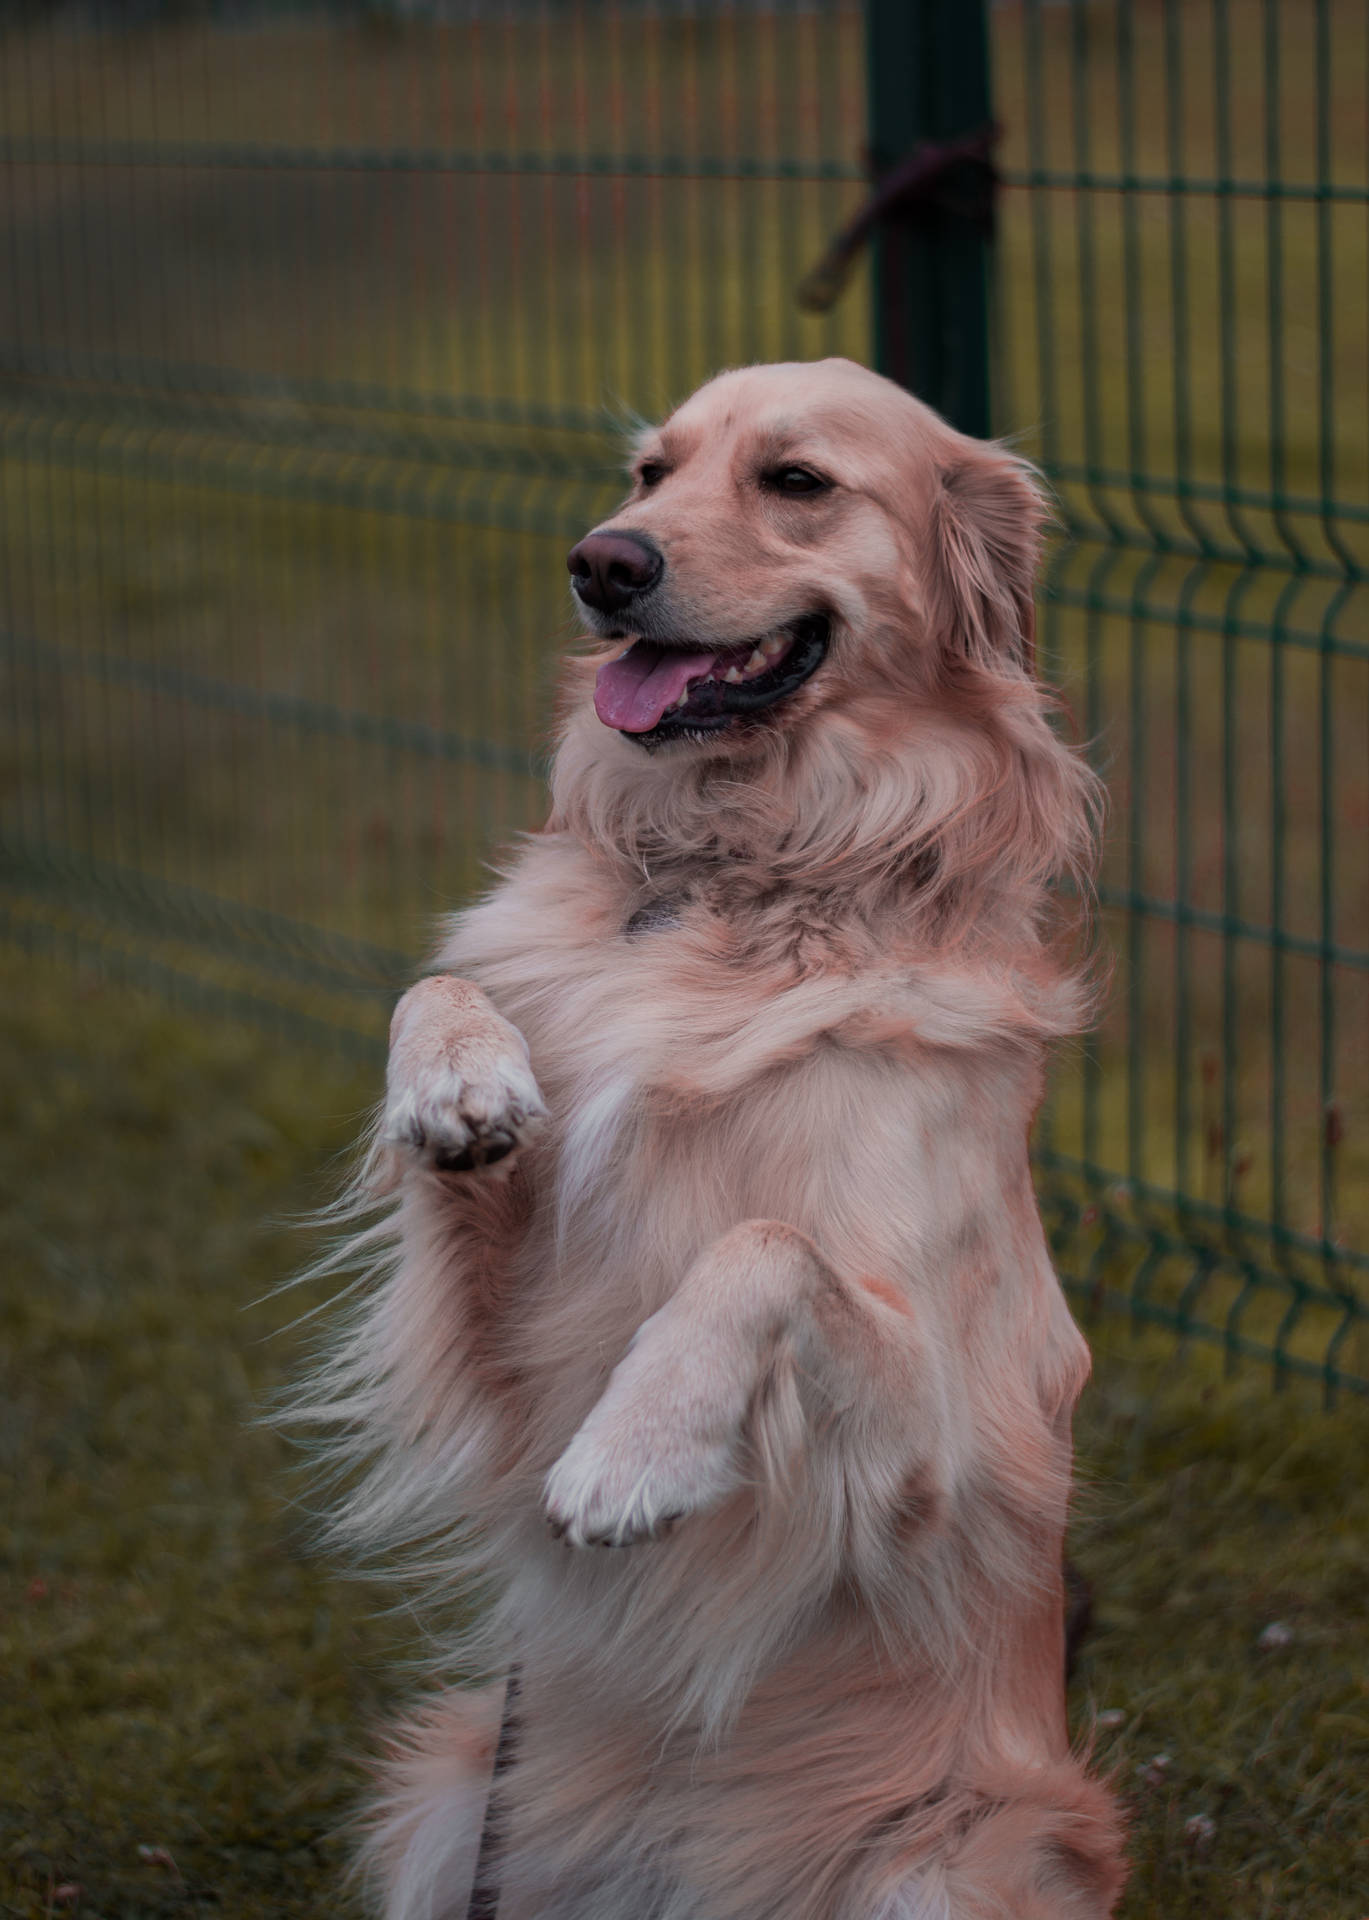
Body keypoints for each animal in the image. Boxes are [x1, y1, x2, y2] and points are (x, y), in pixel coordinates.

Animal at [305, 353, 1128, 1912]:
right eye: (651, 473)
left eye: (794, 482)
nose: (600, 564)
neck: (744, 882)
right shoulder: (500, 1342)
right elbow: (438, 983)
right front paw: (458, 1086)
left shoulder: (941, 1432)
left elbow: (763, 1244)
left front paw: (636, 1453)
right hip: (457, 1807)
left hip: (940, 1868)